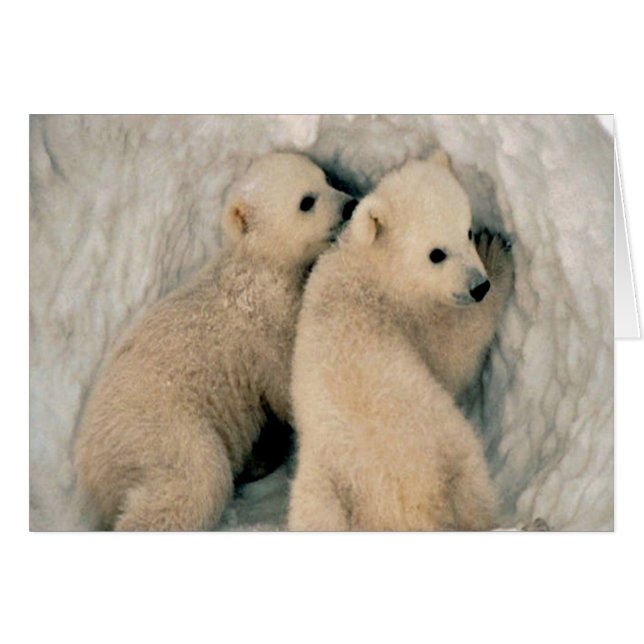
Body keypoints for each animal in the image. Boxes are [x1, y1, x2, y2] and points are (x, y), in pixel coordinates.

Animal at [74, 152, 356, 531]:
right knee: (195, 480)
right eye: (306, 201)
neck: (257, 267)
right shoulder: (265, 325)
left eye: (326, 179)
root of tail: (89, 461)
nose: (349, 205)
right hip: (159, 429)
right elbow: (287, 382)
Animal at [287, 151, 514, 531]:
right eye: (436, 253)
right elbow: (454, 355)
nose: (479, 286)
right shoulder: (414, 319)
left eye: (466, 230)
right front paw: (497, 254)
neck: (371, 269)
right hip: (448, 447)